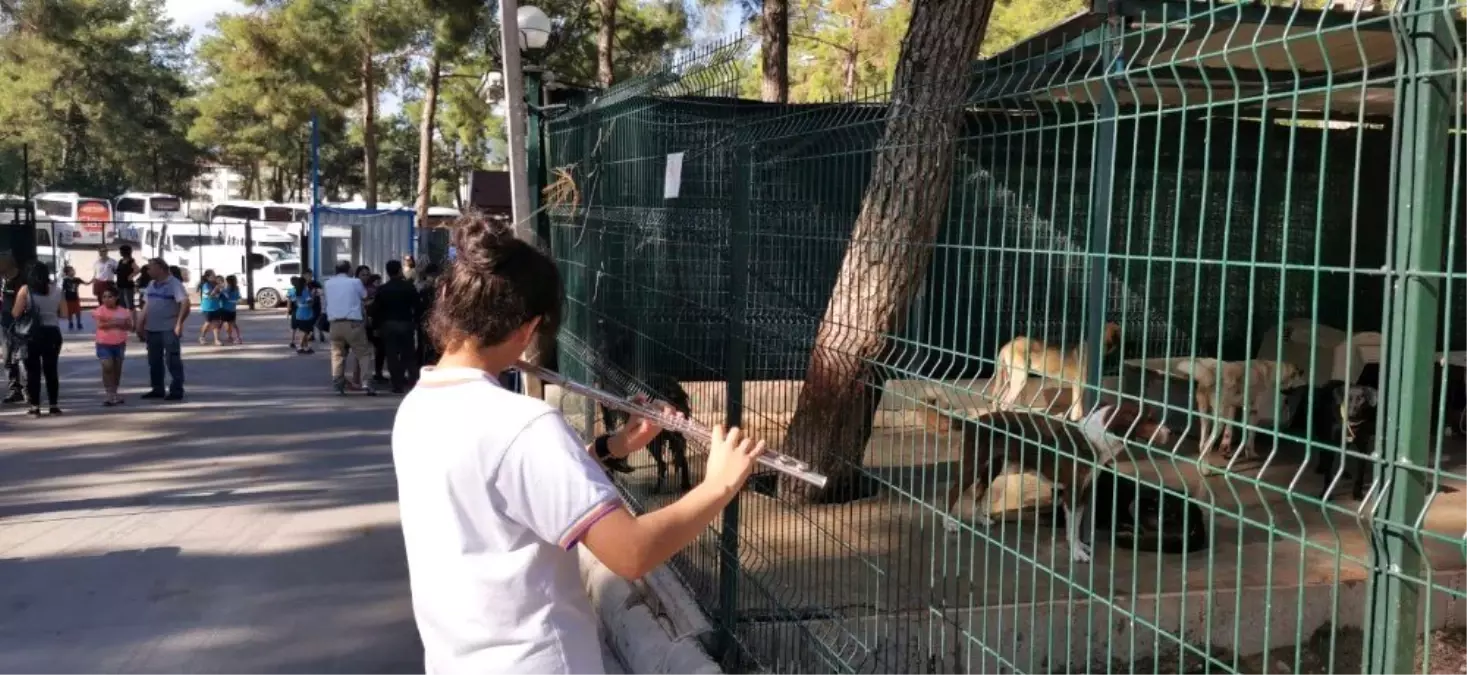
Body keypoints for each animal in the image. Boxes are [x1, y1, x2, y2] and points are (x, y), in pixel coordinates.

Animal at [921, 402, 1173, 563]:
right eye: (1150, 419)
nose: (1171, 432)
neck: (1095, 438)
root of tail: (973, 421)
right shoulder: (1072, 491)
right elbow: (1072, 525)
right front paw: (1076, 554)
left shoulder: (1084, 491)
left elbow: (1075, 525)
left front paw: (1078, 546)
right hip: (973, 464)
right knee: (952, 492)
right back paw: (948, 523)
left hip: (994, 465)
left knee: (980, 491)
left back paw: (981, 519)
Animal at [985, 321, 1120, 422]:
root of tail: (1007, 345)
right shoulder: (1078, 385)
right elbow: (1078, 409)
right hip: (1020, 380)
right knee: (1004, 403)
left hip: (1010, 381)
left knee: (999, 401)